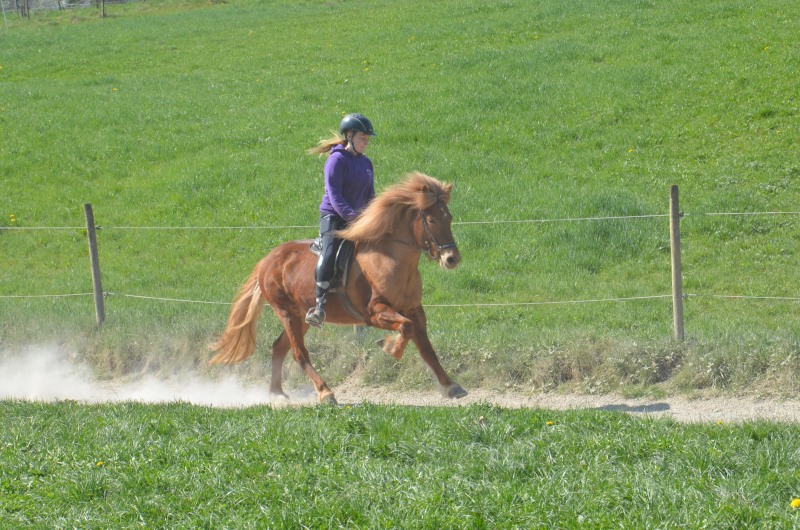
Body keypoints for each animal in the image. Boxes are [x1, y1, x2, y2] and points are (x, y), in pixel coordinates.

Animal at [208, 172, 467, 404]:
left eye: (449, 217)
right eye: (431, 220)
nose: (452, 259)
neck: (390, 260)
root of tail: (266, 260)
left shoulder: (415, 310)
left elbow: (426, 347)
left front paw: (451, 386)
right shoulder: (375, 312)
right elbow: (406, 327)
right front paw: (389, 346)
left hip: (301, 316)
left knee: (279, 347)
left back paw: (277, 394)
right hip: (285, 312)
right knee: (299, 353)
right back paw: (325, 393)